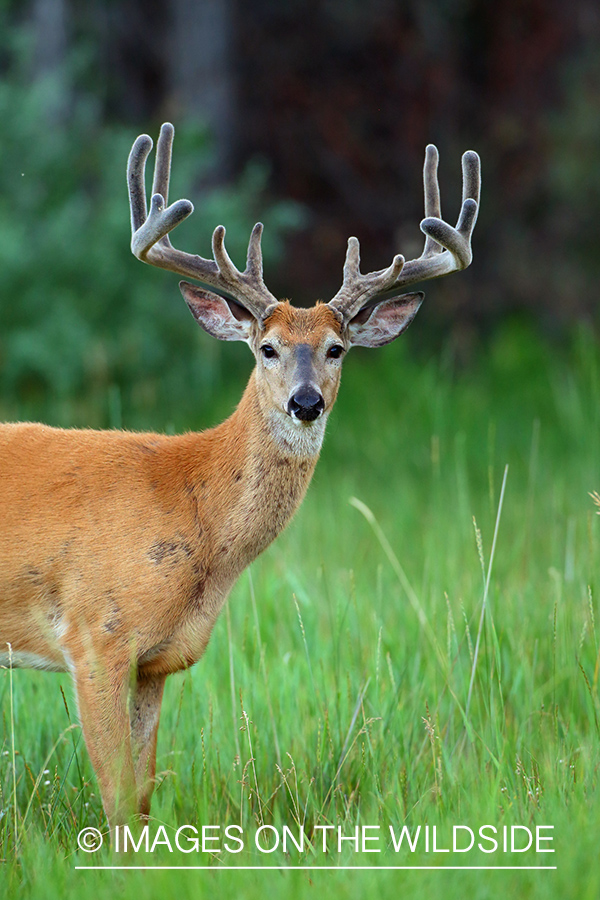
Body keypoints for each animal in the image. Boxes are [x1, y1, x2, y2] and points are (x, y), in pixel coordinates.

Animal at [0, 123, 478, 832]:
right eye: (267, 348)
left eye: (337, 349)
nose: (306, 402)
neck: (191, 507)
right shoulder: (94, 636)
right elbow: (117, 803)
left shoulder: (155, 663)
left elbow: (142, 800)